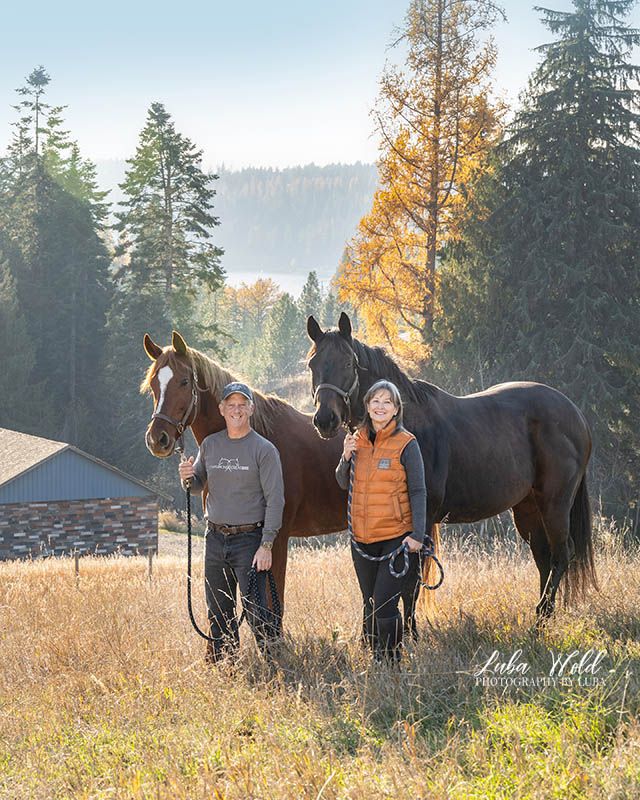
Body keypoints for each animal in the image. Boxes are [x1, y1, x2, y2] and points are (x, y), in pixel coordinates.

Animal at [140, 330, 431, 633]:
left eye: (184, 382)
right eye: (153, 385)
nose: (157, 439)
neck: (260, 433)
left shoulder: (275, 541)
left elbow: (272, 606)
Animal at [306, 312, 598, 621]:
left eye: (348, 364)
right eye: (313, 364)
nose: (325, 419)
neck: (408, 425)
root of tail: (576, 415)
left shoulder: (420, 524)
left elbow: (410, 585)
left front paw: (411, 631)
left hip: (555, 503)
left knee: (561, 554)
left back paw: (542, 617)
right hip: (528, 507)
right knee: (543, 557)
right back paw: (541, 615)